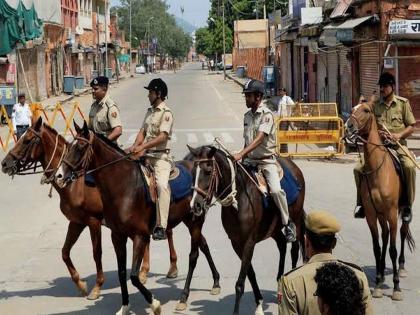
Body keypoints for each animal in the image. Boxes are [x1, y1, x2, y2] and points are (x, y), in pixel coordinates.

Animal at [0, 118, 177, 302]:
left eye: (27, 140)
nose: (4, 163)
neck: (75, 185)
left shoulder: (93, 221)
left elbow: (96, 252)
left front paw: (97, 287)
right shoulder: (76, 222)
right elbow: (65, 252)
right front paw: (80, 284)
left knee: (167, 232)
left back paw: (171, 268)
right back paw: (144, 272)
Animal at [55, 121, 223, 315]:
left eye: (81, 147)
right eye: (69, 146)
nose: (59, 175)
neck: (123, 187)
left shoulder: (140, 236)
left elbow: (134, 276)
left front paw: (154, 304)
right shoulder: (117, 236)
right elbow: (122, 273)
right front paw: (125, 306)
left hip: (196, 220)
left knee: (194, 255)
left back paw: (184, 297)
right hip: (190, 220)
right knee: (204, 244)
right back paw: (216, 282)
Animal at [187, 146, 306, 315]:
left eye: (208, 171)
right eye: (193, 172)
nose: (195, 205)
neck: (239, 198)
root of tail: (294, 167)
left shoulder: (249, 242)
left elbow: (240, 283)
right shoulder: (236, 243)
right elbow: (250, 274)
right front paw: (259, 304)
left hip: (295, 220)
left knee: (294, 249)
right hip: (273, 229)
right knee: (282, 244)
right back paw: (279, 281)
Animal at [346, 103, 416, 302]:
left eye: (366, 110)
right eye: (352, 109)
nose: (349, 126)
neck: (377, 171)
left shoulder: (392, 213)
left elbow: (392, 248)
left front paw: (396, 288)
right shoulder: (371, 214)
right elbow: (377, 247)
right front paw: (377, 283)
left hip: (400, 212)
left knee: (402, 233)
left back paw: (401, 267)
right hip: (381, 215)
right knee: (384, 235)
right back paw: (382, 271)